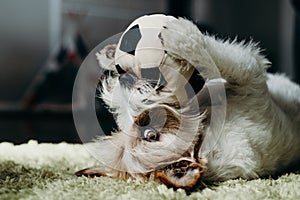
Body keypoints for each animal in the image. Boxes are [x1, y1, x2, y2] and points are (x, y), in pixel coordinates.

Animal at [76, 14, 300, 191]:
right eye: (151, 135)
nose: (127, 78)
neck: (204, 137)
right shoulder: (250, 79)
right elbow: (218, 58)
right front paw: (183, 37)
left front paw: (109, 55)